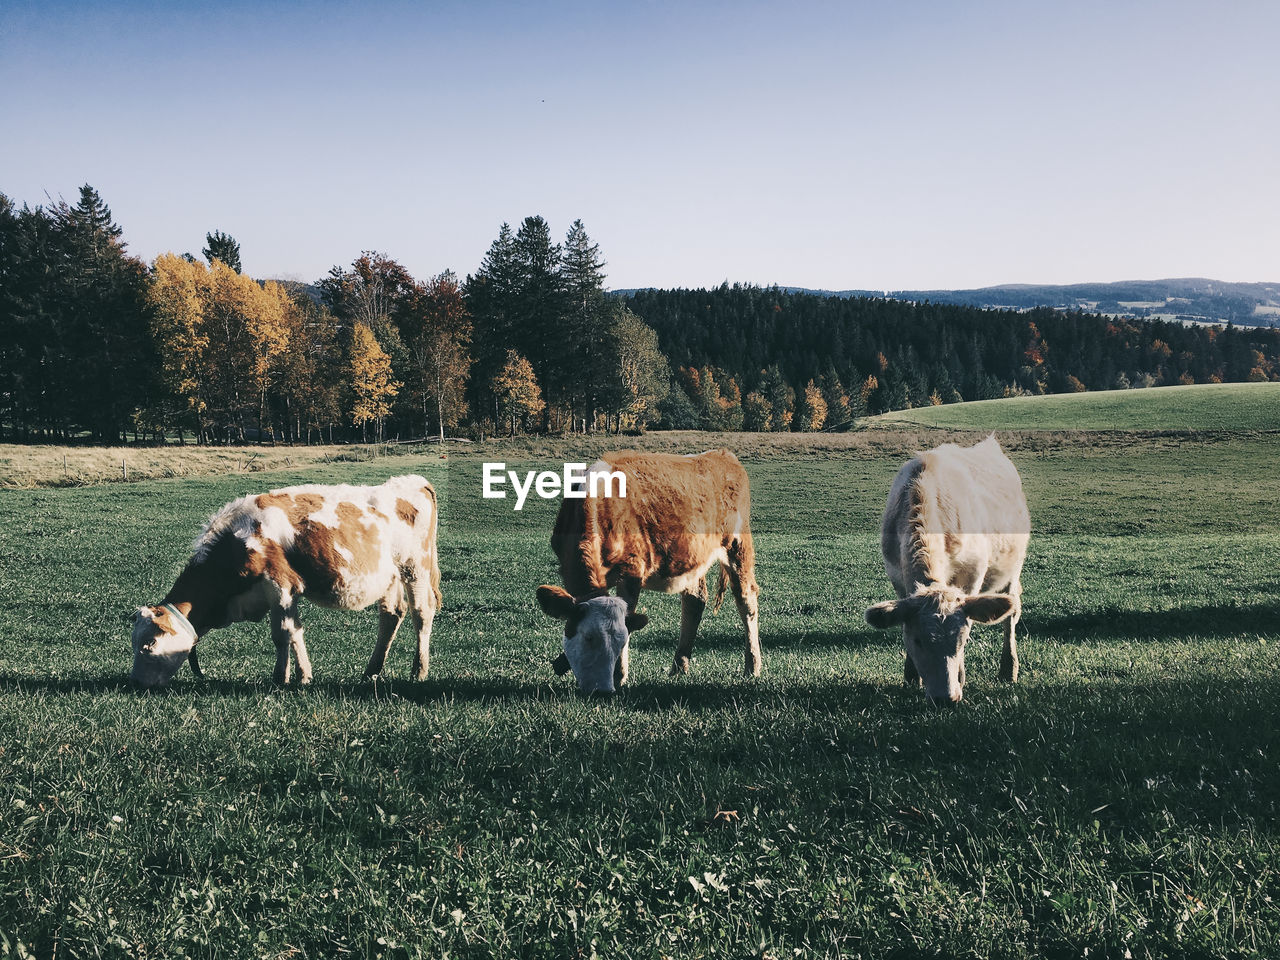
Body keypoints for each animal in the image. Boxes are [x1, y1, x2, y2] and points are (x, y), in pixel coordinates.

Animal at [129, 476, 440, 686]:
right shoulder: (286, 592)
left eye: (149, 644)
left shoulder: (279, 586)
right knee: (391, 616)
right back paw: (372, 671)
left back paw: (419, 671)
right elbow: (295, 632)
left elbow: (281, 634)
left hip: (415, 568)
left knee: (421, 614)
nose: (136, 683)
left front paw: (280, 677)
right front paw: (304, 676)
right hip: (389, 577)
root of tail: (412, 482)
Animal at [532, 450, 757, 691]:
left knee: (747, 600)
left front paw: (620, 676)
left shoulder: (632, 571)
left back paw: (753, 667)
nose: (602, 690)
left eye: (619, 641)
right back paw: (679, 667)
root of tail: (723, 455)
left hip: (738, 545)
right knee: (695, 601)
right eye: (587, 638)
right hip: (694, 558)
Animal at [860, 437, 1029, 706]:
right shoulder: (897, 578)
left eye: (963, 639)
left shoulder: (972, 576)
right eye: (917, 640)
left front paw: (961, 677)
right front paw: (911, 677)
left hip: (1013, 569)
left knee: (1010, 617)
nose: (945, 698)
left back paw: (1008, 669)